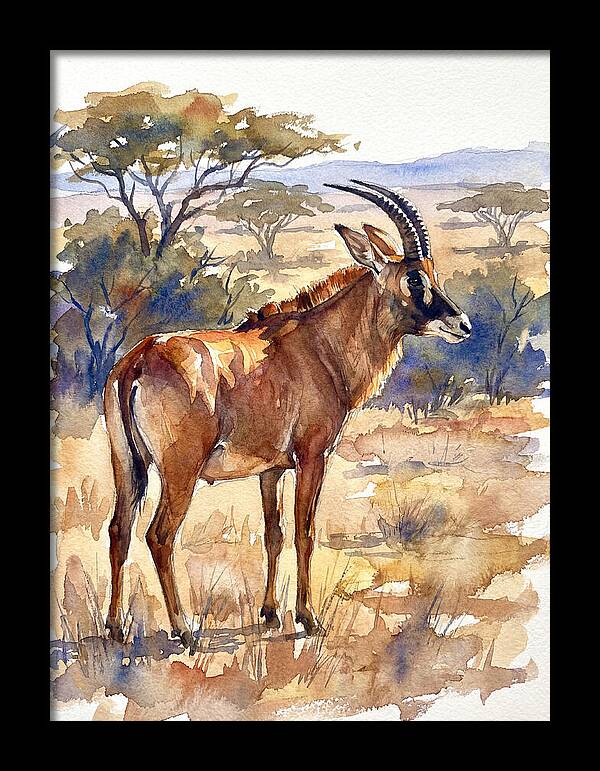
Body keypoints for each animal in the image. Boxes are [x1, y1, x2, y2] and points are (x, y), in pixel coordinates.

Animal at [103, 181, 472, 648]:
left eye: (432, 273)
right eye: (413, 278)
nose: (462, 324)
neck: (319, 344)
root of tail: (137, 361)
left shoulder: (271, 469)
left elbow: (274, 535)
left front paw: (269, 613)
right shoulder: (312, 456)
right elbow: (305, 532)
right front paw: (309, 618)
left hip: (127, 465)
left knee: (119, 530)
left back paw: (115, 628)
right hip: (179, 471)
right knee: (159, 535)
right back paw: (184, 630)